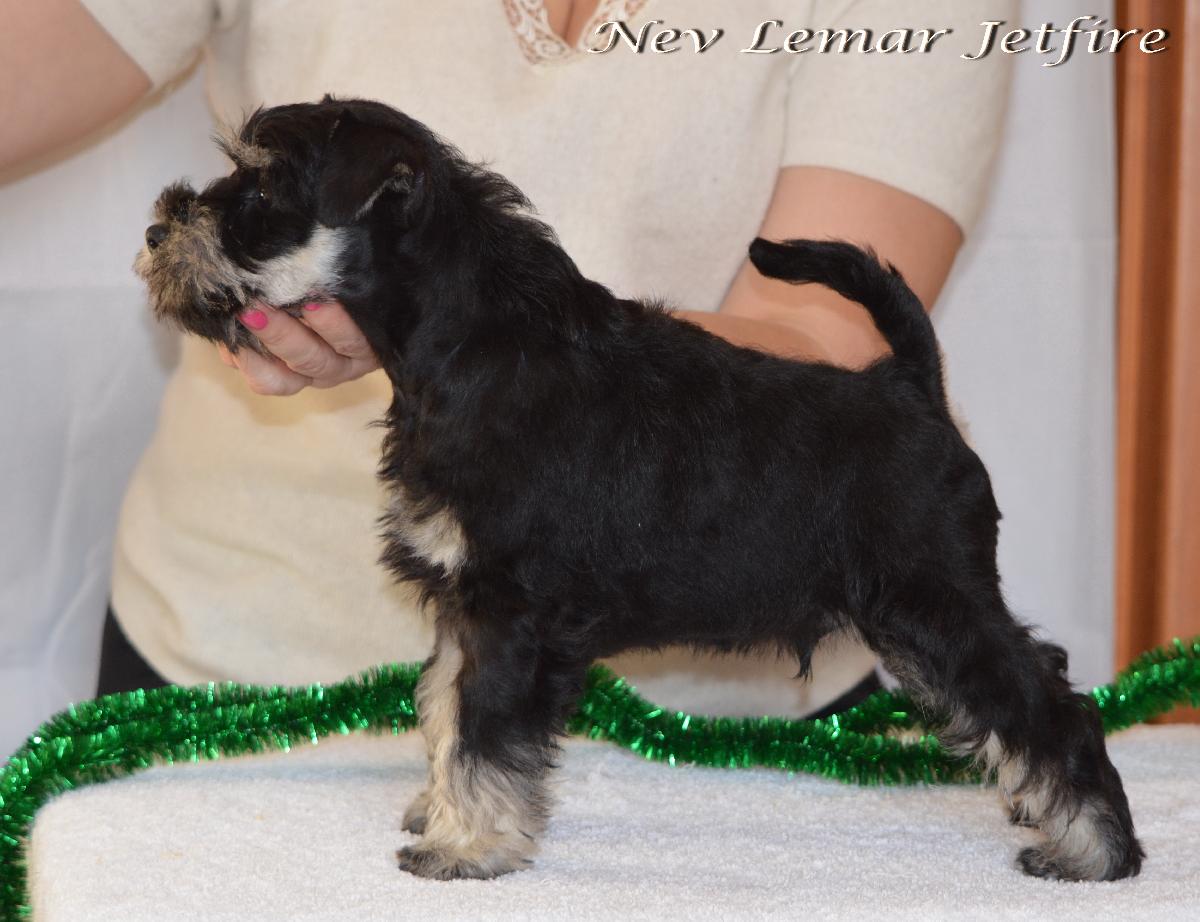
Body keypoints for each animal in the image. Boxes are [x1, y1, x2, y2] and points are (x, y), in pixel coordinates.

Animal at [135, 96, 1143, 883]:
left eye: (262, 191)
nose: (157, 229)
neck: (468, 349)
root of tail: (912, 384)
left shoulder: (508, 611)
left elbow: (483, 731)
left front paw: (466, 846)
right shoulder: (463, 605)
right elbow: (446, 708)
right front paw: (441, 810)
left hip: (938, 602)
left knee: (1051, 705)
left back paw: (1095, 850)